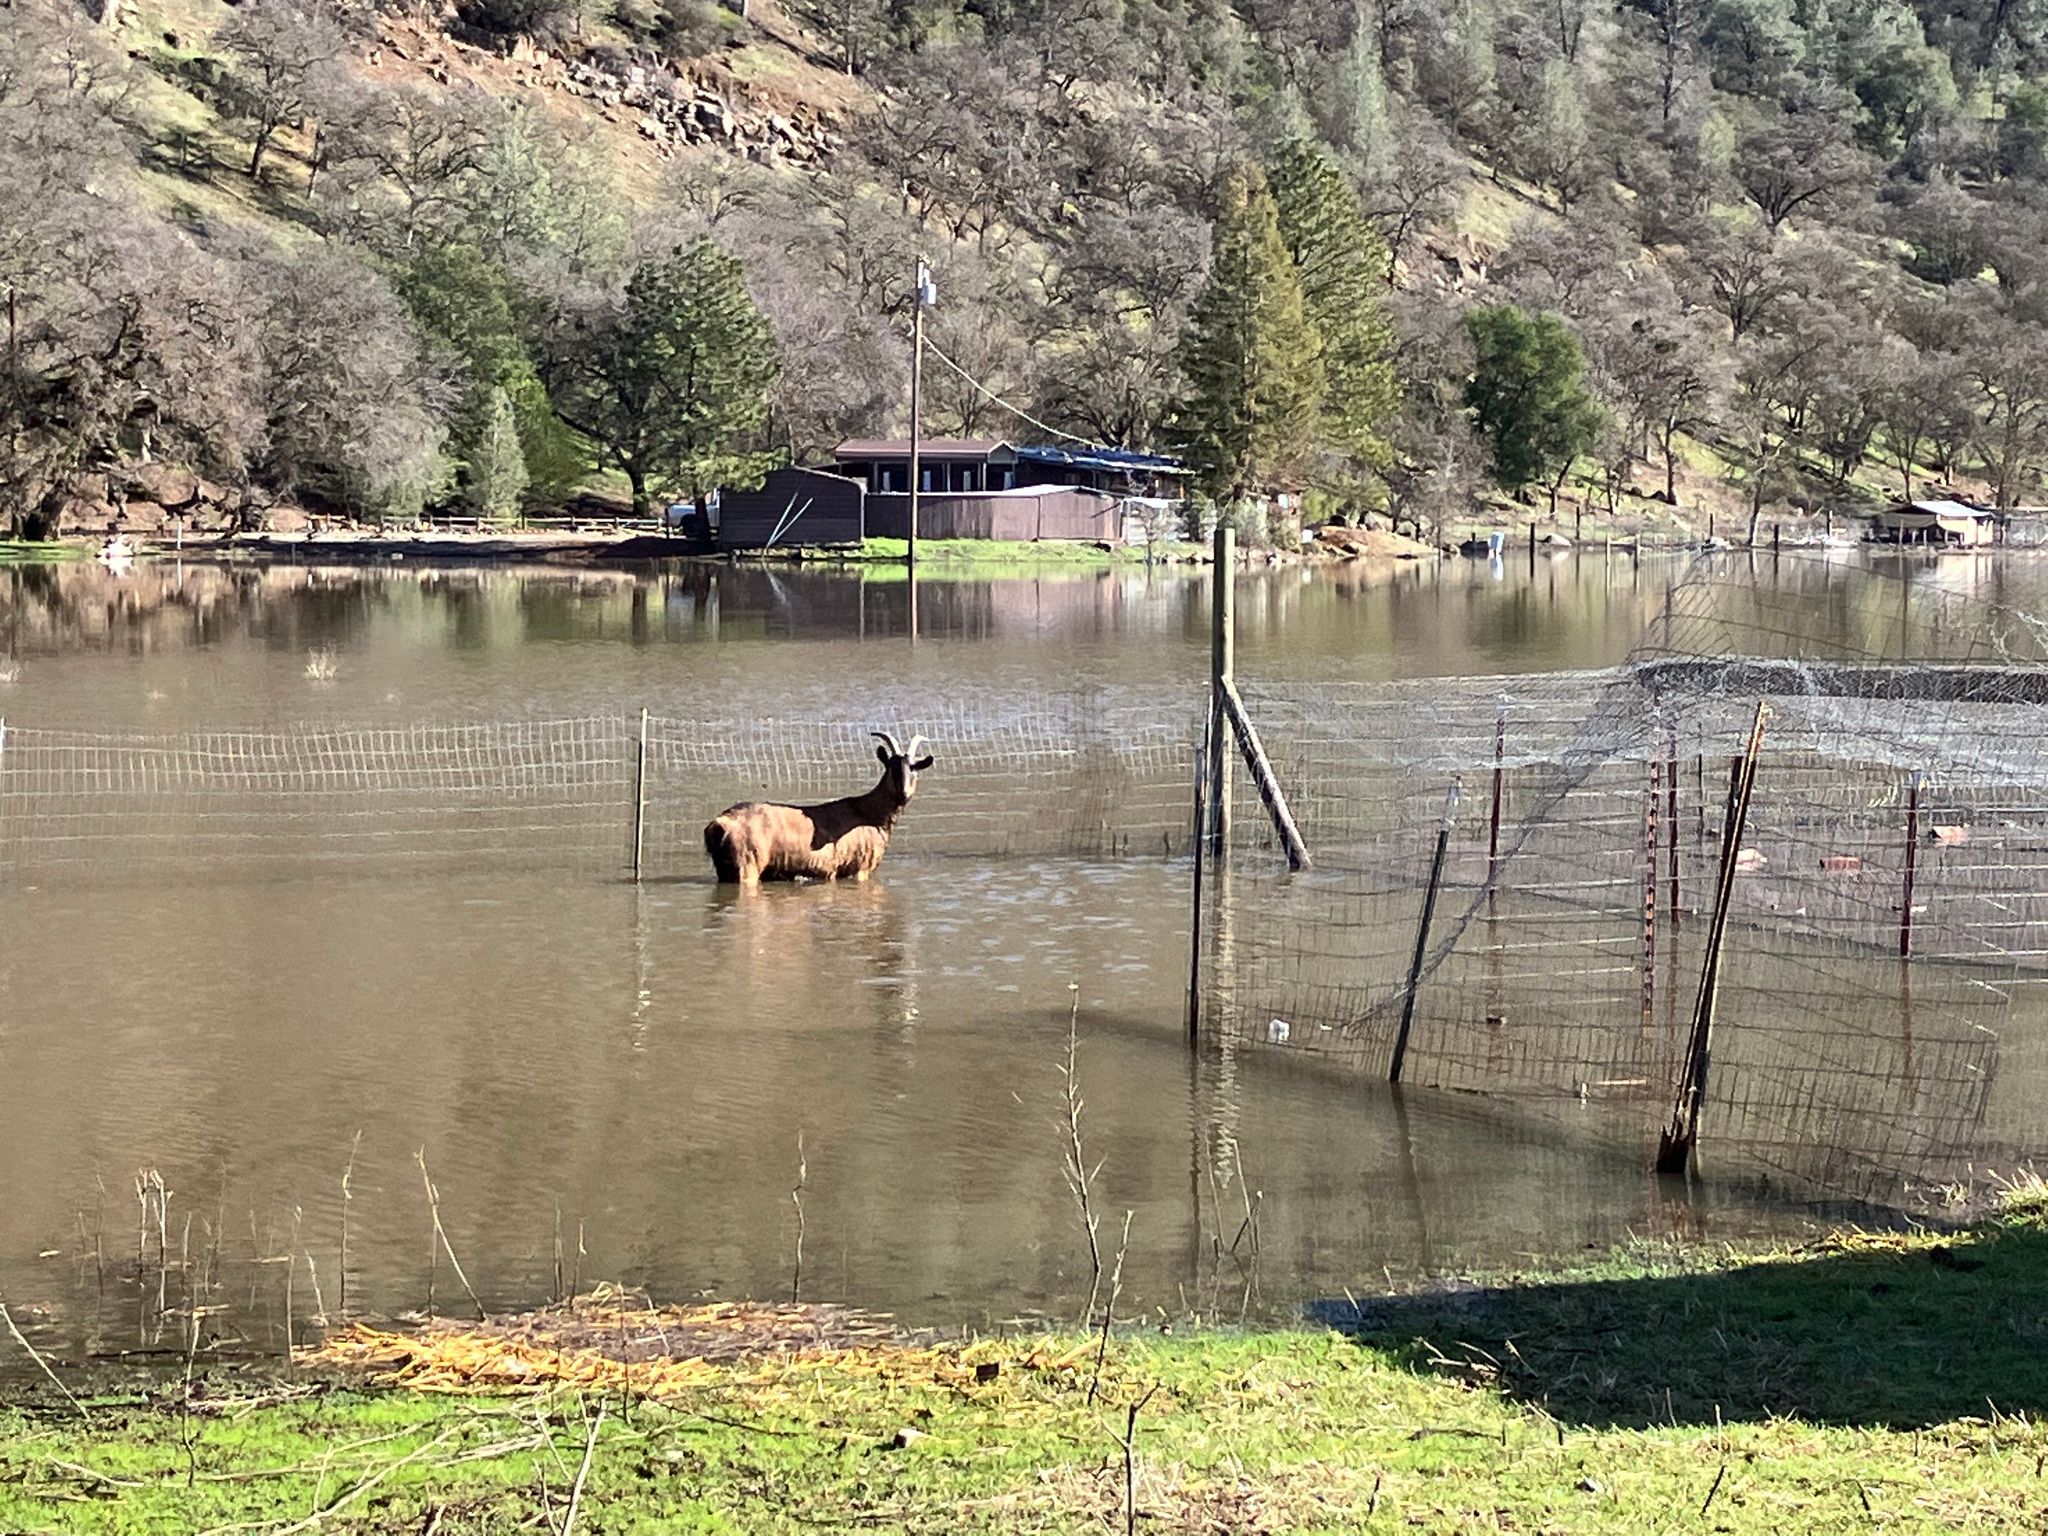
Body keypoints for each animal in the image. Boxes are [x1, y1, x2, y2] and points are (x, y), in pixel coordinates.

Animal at [704, 731, 934, 886]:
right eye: (891, 767)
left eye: (913, 768)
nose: (903, 794)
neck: (870, 815)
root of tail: (718, 825)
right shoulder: (859, 867)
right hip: (747, 865)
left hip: (725, 869)